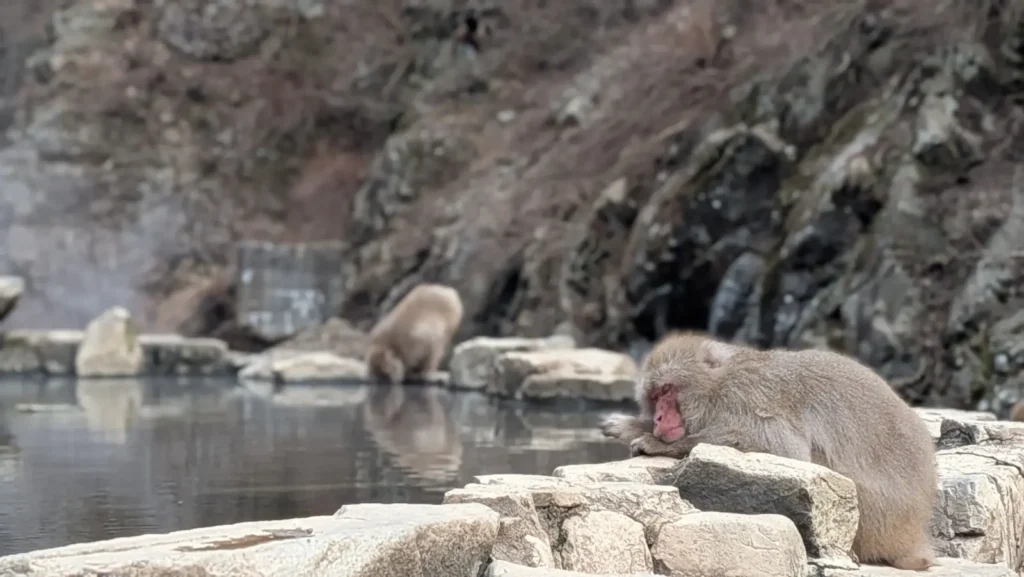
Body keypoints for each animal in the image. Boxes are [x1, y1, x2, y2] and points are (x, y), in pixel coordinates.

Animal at [600, 332, 937, 572]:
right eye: (654, 397)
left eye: (668, 390)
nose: (658, 417)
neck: (718, 386)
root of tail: (914, 534)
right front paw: (631, 425)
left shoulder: (746, 398)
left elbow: (783, 448)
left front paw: (656, 443)